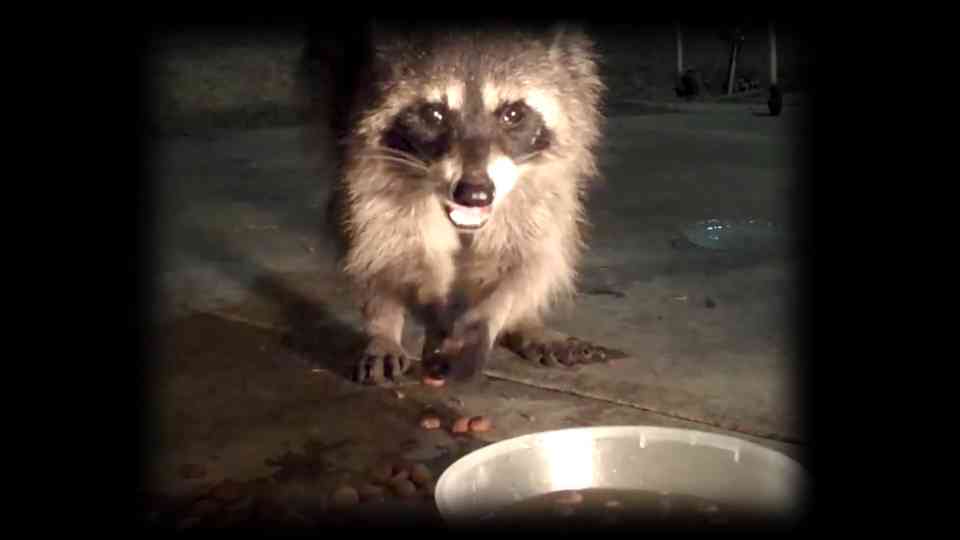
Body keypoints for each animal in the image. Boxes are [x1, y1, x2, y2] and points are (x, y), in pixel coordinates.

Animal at [315, 20, 616, 384]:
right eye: (434, 114)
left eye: (513, 114)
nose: (474, 194)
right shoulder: (363, 124)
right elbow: (387, 233)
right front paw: (412, 309)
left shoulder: (567, 112)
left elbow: (526, 249)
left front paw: (493, 312)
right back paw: (383, 323)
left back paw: (526, 318)